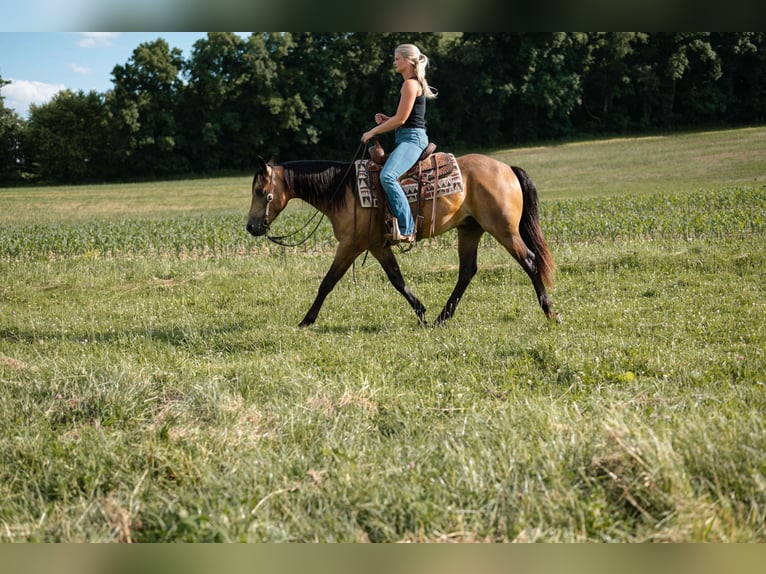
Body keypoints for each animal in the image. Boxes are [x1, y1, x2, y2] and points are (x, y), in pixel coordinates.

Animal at [246, 152, 557, 328]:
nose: (251, 226)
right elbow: (397, 279)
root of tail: (507, 168)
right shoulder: (376, 246)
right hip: (470, 230)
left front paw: (306, 320)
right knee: (467, 271)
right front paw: (421, 313)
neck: (342, 189)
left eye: (261, 191)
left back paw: (550, 312)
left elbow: (327, 282)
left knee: (530, 261)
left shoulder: (350, 245)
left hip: (504, 230)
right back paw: (442, 318)